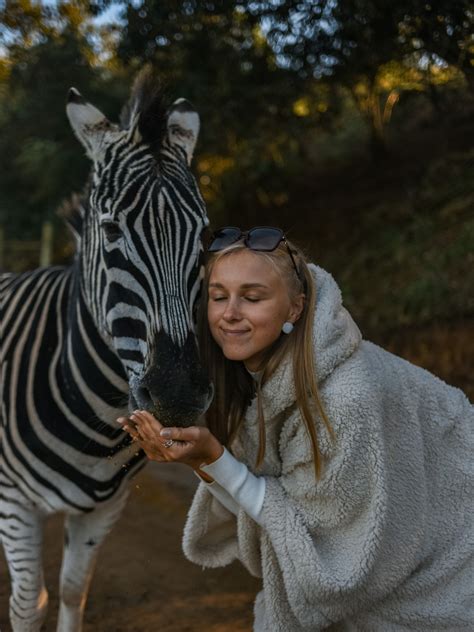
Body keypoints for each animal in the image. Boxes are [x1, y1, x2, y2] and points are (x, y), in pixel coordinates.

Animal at [0, 70, 212, 632]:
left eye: (204, 234)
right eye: (112, 228)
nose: (177, 394)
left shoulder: (104, 509)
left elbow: (75, 590)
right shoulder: (13, 503)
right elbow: (28, 603)